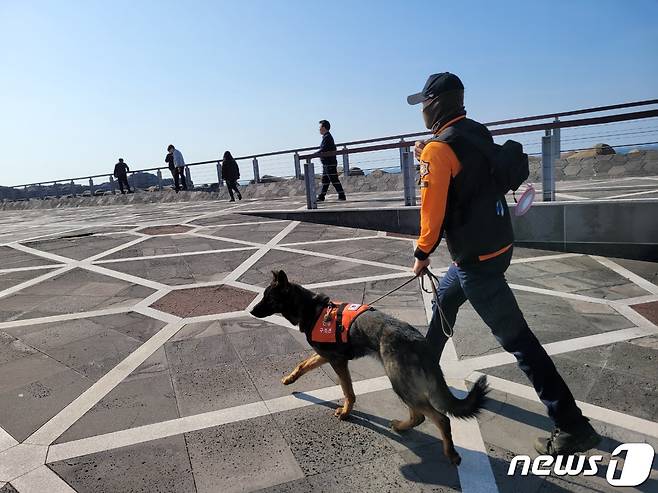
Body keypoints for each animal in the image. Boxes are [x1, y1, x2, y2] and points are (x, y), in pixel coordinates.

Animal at [249, 270, 484, 466]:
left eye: (269, 298)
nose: (250, 310)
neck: (311, 310)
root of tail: (419, 341)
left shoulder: (337, 361)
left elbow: (347, 391)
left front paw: (346, 412)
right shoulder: (326, 356)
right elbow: (303, 364)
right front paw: (290, 378)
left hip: (399, 382)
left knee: (440, 418)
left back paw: (450, 453)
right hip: (404, 384)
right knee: (419, 415)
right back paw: (401, 426)